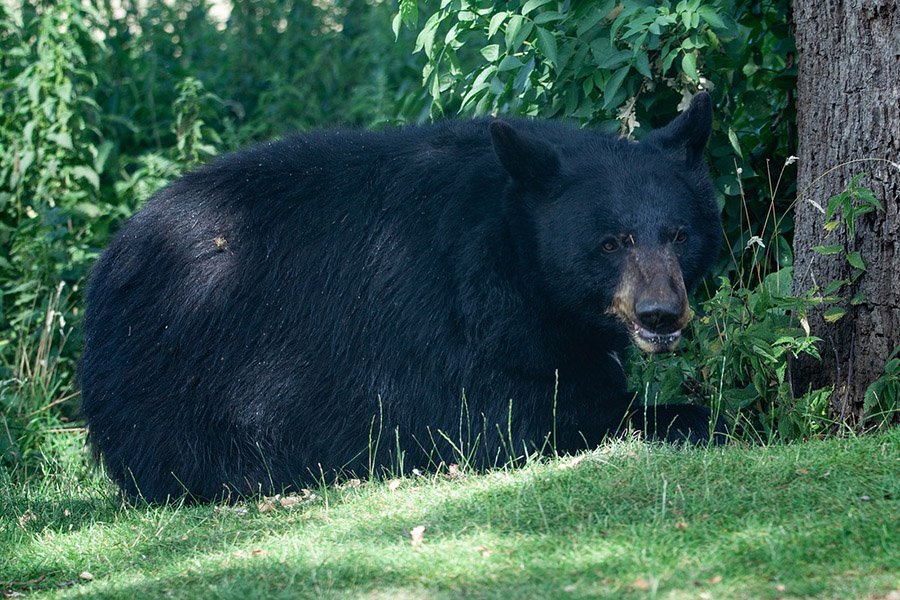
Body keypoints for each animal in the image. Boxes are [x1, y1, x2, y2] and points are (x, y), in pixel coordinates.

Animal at [79, 91, 724, 502]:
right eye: (611, 242)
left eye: (679, 233)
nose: (661, 314)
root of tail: (112, 260)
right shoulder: (449, 319)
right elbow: (513, 418)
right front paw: (691, 417)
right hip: (187, 367)